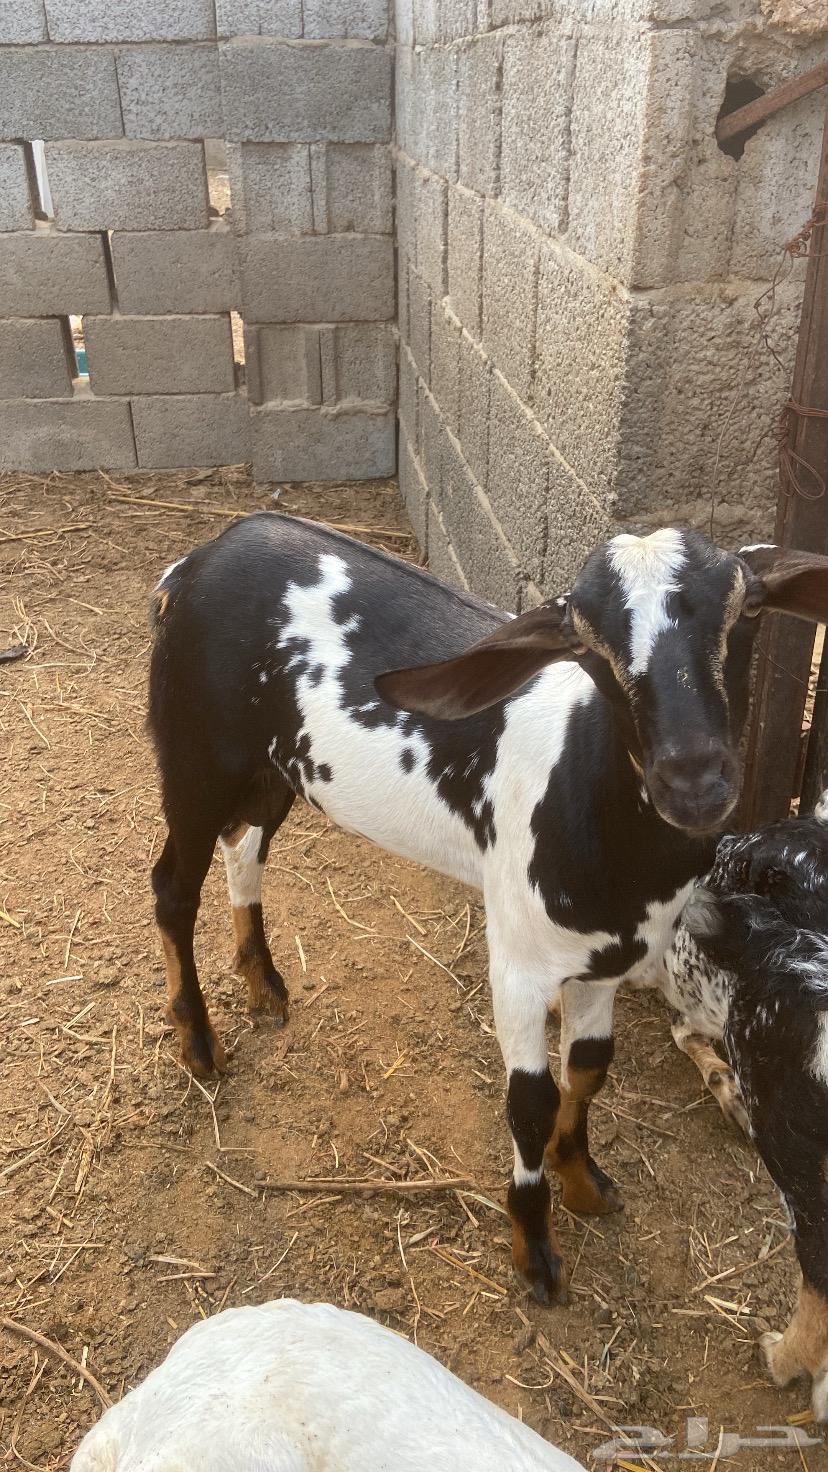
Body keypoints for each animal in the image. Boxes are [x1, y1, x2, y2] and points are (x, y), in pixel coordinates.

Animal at [148, 517, 828, 1306]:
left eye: (747, 611)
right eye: (587, 643)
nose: (692, 780)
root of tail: (198, 559)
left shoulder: (609, 956)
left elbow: (589, 1068)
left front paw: (584, 1181)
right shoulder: (521, 963)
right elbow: (529, 1102)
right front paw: (534, 1247)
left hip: (271, 767)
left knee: (244, 844)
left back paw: (263, 983)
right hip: (194, 756)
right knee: (173, 886)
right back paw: (199, 1041)